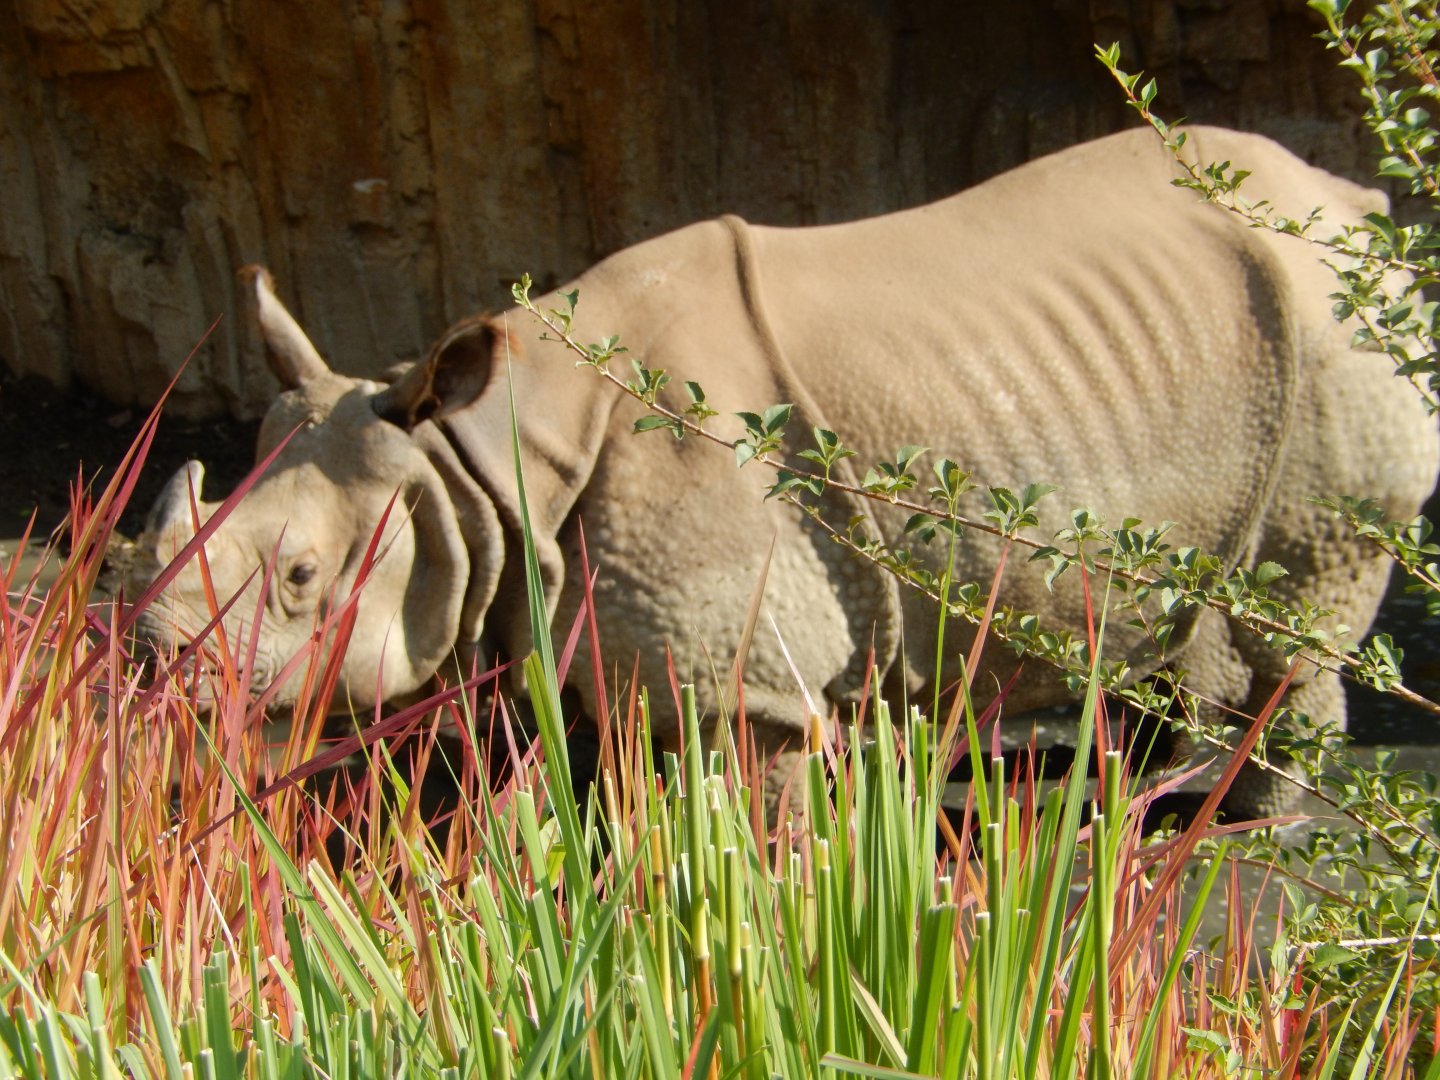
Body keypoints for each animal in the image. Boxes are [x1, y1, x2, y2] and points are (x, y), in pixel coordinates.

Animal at [135, 126, 1438, 815]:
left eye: (300, 579)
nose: (151, 675)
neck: (480, 461)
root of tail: (1349, 201)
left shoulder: (745, 677)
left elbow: (744, 817)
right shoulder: (576, 611)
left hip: (1333, 339)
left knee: (1302, 589)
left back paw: (1225, 828)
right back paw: (1151, 791)